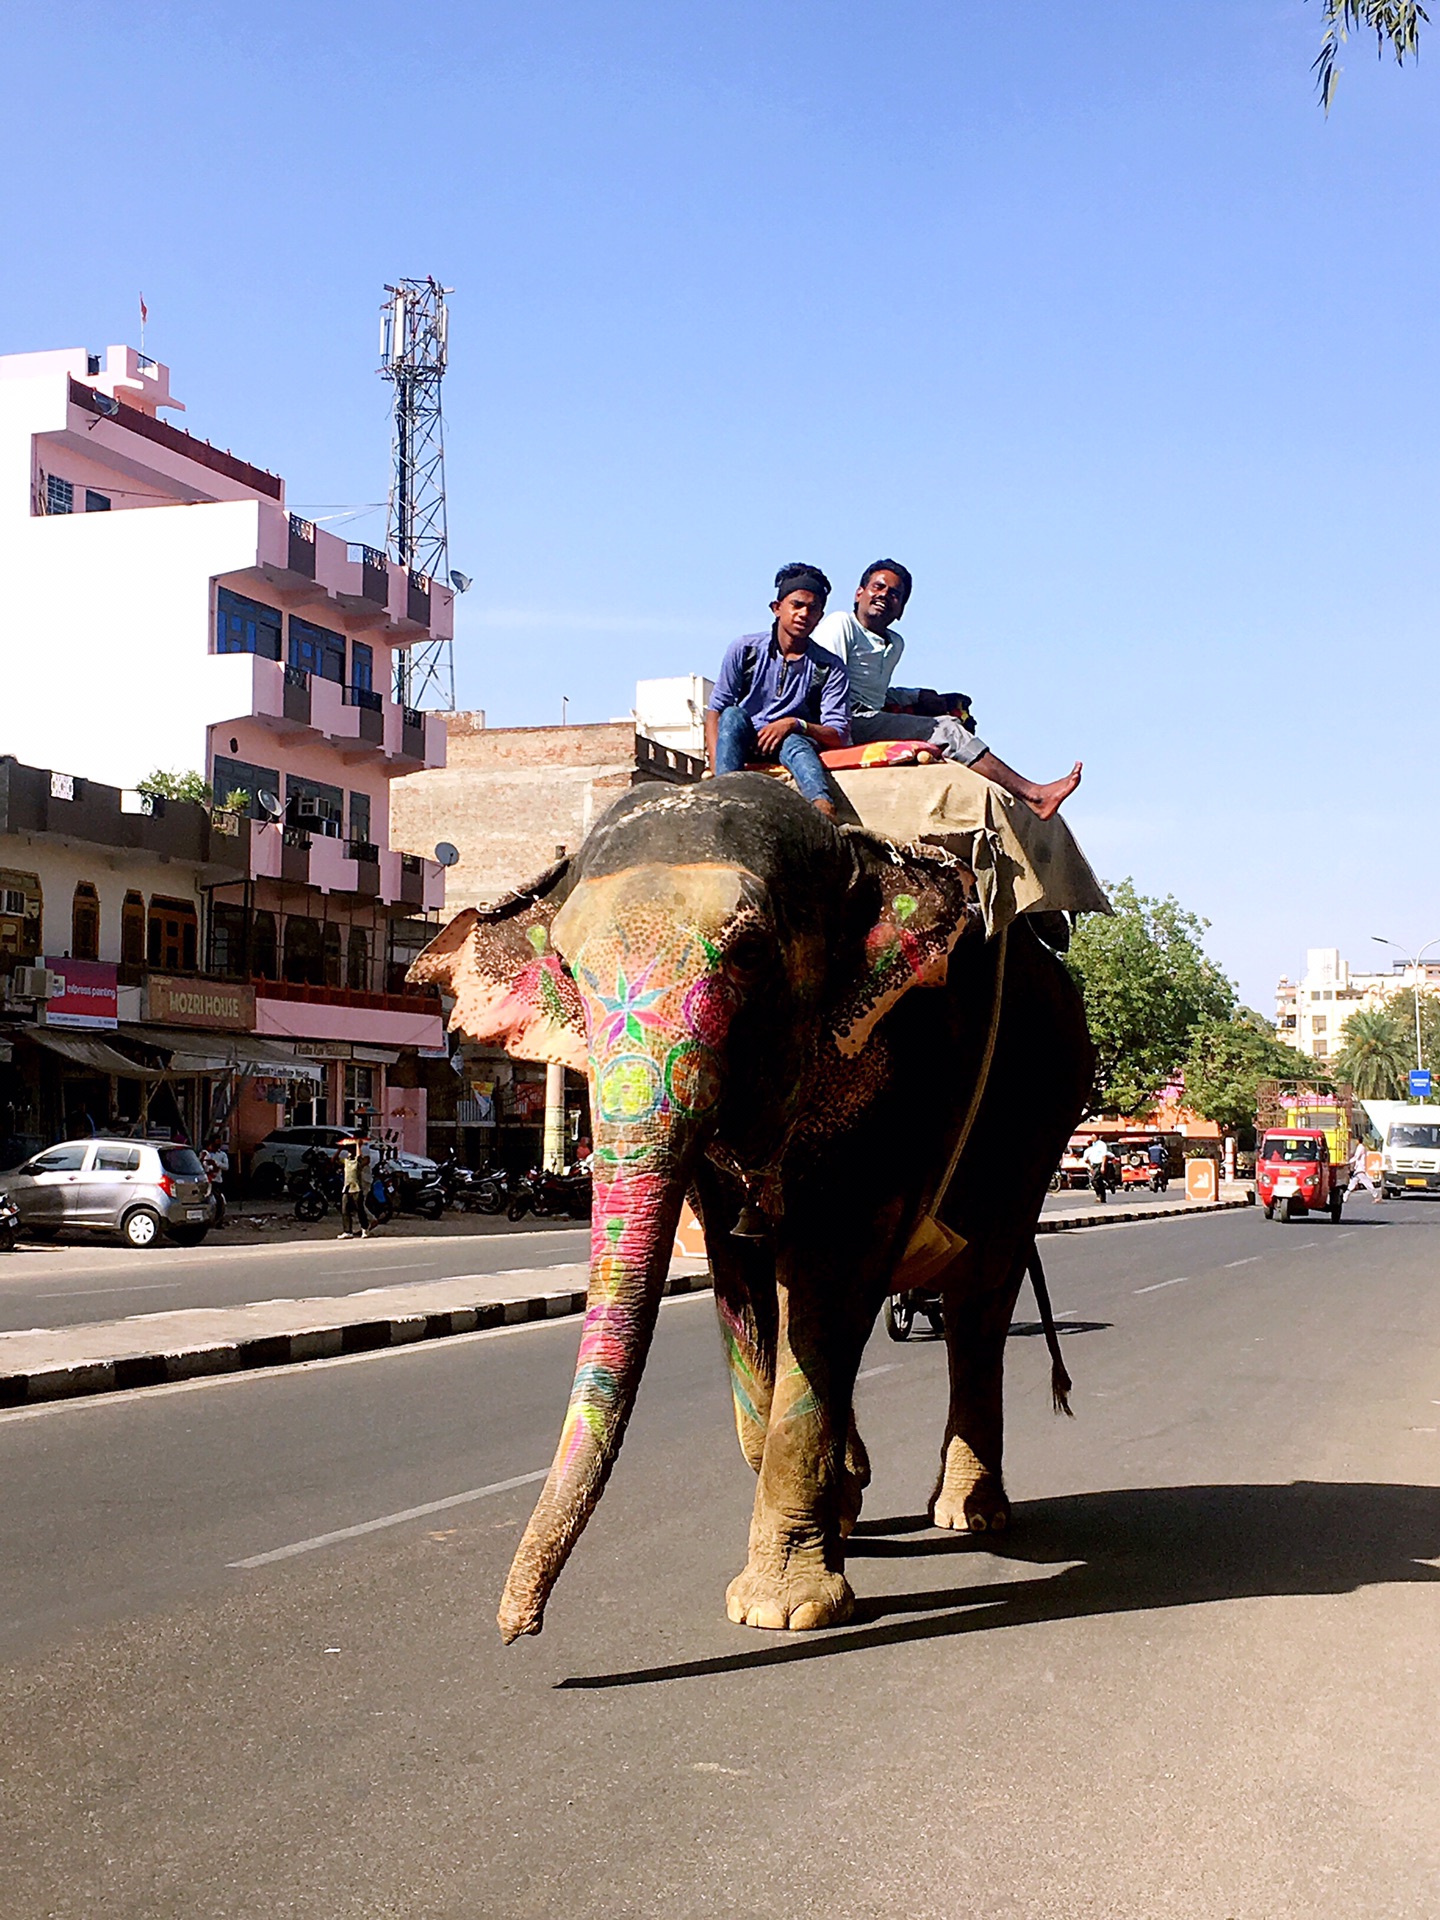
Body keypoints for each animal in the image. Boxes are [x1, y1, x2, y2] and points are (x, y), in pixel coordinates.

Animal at [410, 771, 1098, 1643]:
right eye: (564, 963)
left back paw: (970, 1516)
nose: (515, 1630)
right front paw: (843, 1501)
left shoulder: (901, 1058)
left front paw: (783, 1609)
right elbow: (741, 1285)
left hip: (1041, 1121)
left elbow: (828, 1278)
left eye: (749, 953)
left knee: (980, 1301)